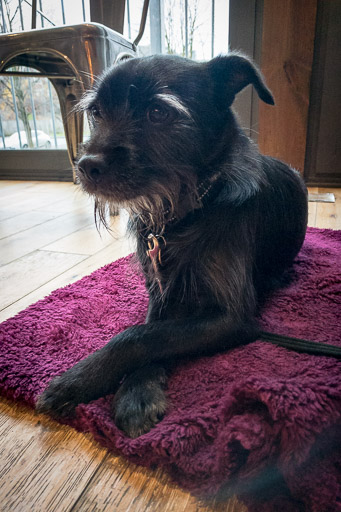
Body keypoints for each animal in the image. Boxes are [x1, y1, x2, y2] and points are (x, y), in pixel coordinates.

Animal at [35, 54, 306, 438]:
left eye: (159, 112)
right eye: (97, 112)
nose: (86, 166)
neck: (180, 213)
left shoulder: (233, 319)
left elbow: (139, 337)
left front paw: (82, 382)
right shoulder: (161, 291)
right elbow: (151, 331)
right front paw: (135, 390)